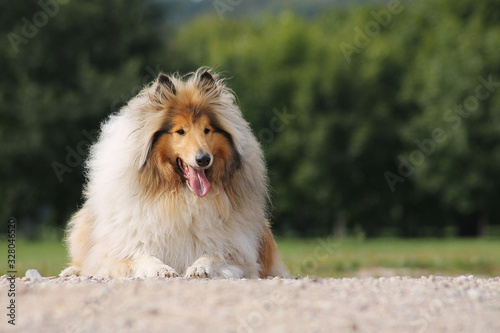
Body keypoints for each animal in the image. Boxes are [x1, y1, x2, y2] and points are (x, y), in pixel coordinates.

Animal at [61, 67, 290, 278]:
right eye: (180, 131)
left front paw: (199, 268)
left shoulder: (239, 255)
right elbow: (142, 257)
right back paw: (71, 271)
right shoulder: (118, 253)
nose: (203, 159)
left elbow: (213, 255)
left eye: (207, 130)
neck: (182, 195)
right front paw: (162, 269)